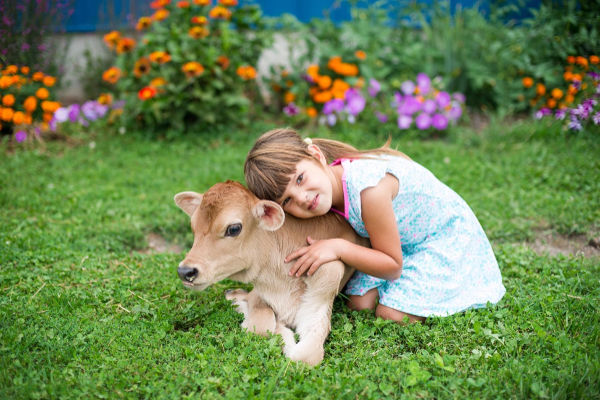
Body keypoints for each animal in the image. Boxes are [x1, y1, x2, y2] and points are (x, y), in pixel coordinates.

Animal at [176, 181, 368, 366]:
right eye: (193, 226)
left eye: (234, 228)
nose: (185, 271)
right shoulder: (260, 292)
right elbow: (261, 325)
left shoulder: (322, 295)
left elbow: (305, 356)